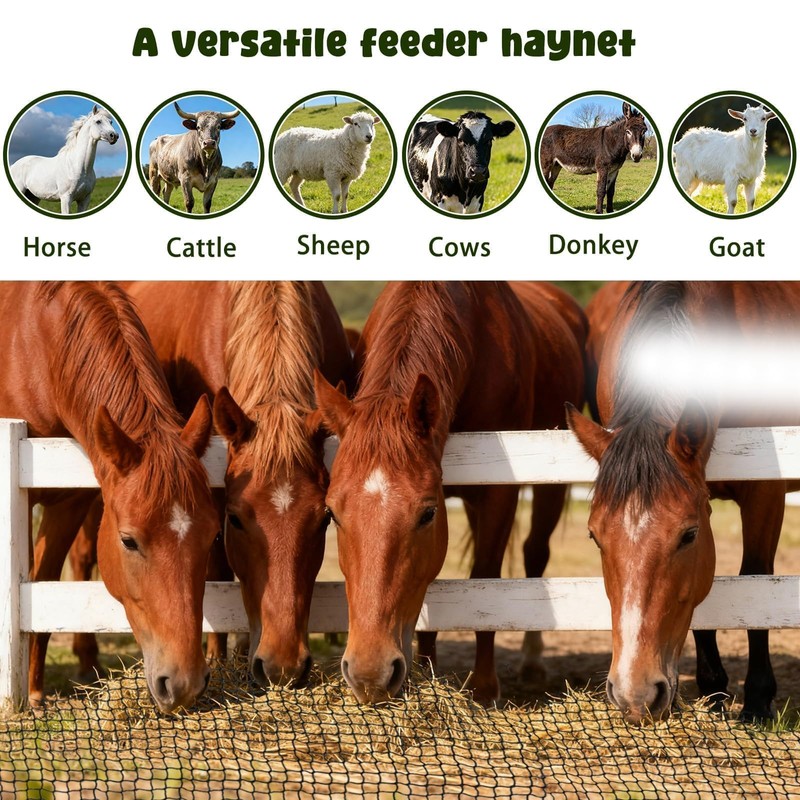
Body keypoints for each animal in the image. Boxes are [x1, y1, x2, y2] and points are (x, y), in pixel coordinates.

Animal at [0, 282, 218, 712]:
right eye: (128, 541)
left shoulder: (68, 504)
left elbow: (45, 587)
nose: (184, 683)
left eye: (211, 537)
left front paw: (34, 693)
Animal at [314, 282, 586, 705]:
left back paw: (532, 662)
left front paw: (484, 688)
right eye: (332, 514)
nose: (370, 673)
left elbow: (485, 579)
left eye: (426, 514)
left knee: (535, 554)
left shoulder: (497, 494)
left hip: (549, 489)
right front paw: (428, 670)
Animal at [567, 281, 800, 723]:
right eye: (593, 537)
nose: (635, 694)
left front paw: (757, 700)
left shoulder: (765, 490)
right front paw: (713, 690)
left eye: (688, 536)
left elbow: (756, 579)